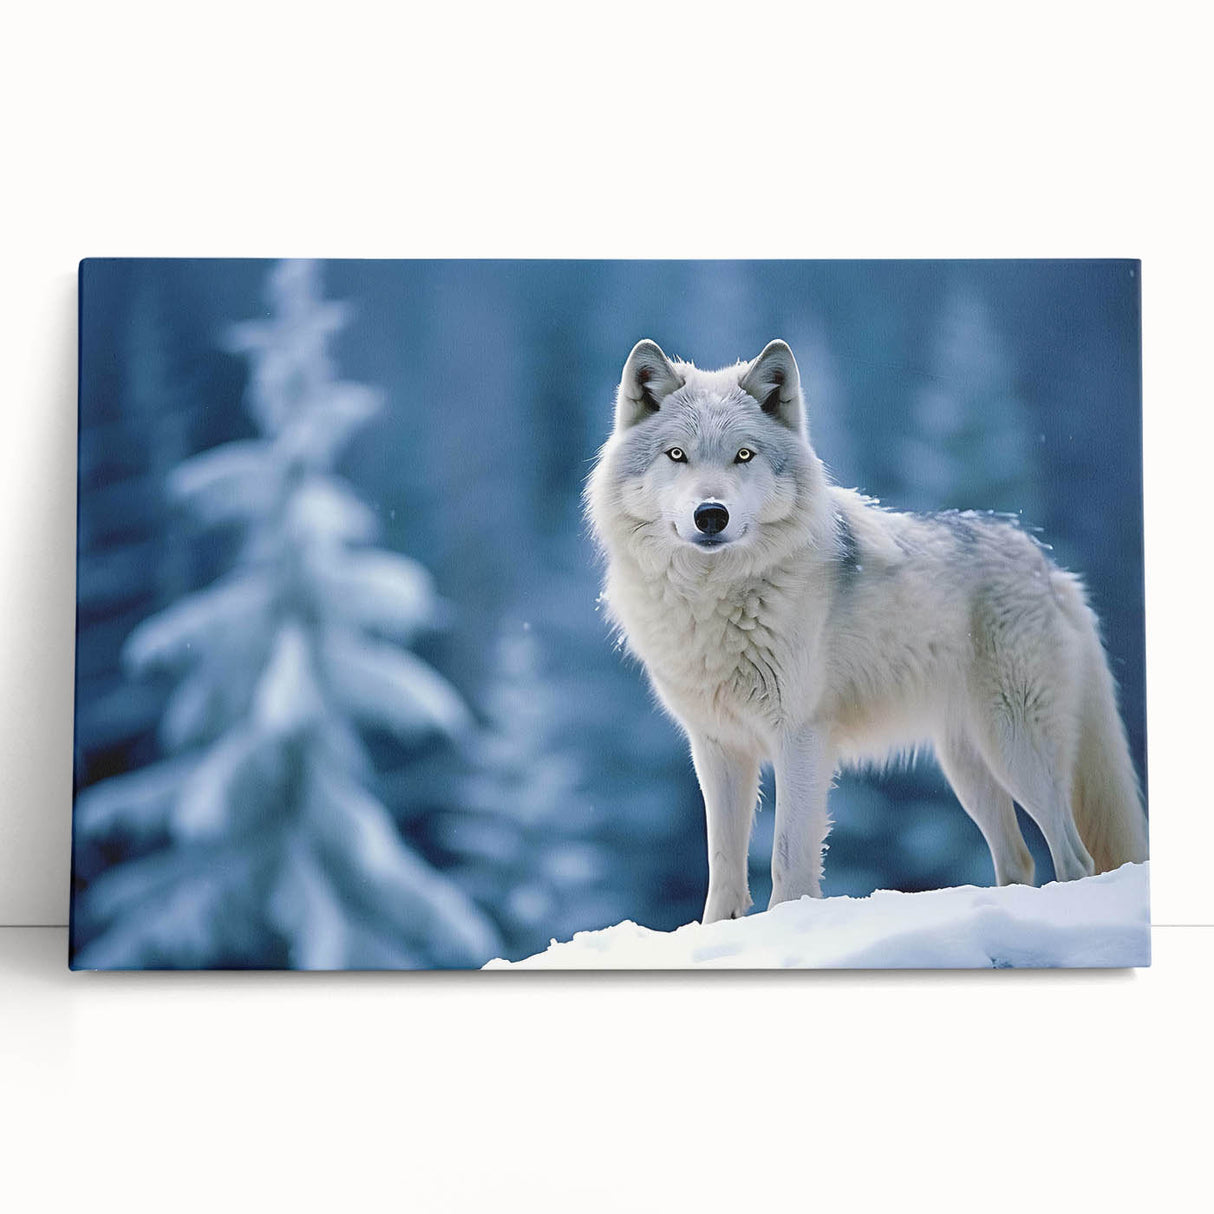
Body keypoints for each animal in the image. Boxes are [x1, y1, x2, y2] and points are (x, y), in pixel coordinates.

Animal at [586, 338, 1148, 923]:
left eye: (744, 455)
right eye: (677, 455)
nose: (710, 514)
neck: (714, 600)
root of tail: (1051, 568)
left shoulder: (801, 737)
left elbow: (788, 856)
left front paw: (790, 922)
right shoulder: (718, 748)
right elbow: (722, 867)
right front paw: (721, 930)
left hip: (1017, 749)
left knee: (1075, 858)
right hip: (969, 769)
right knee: (1020, 859)